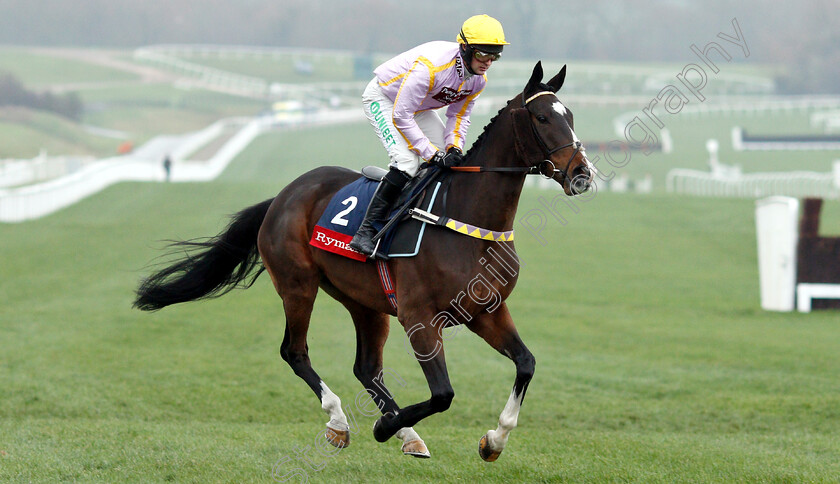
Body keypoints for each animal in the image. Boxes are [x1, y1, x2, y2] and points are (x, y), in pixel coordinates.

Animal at [136, 61, 596, 462]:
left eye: (571, 114)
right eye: (542, 117)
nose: (582, 173)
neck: (466, 220)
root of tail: (282, 196)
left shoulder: (486, 311)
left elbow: (526, 364)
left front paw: (493, 441)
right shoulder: (420, 318)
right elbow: (443, 394)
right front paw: (383, 428)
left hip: (365, 303)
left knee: (366, 367)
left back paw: (407, 434)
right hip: (298, 285)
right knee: (295, 352)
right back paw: (342, 422)